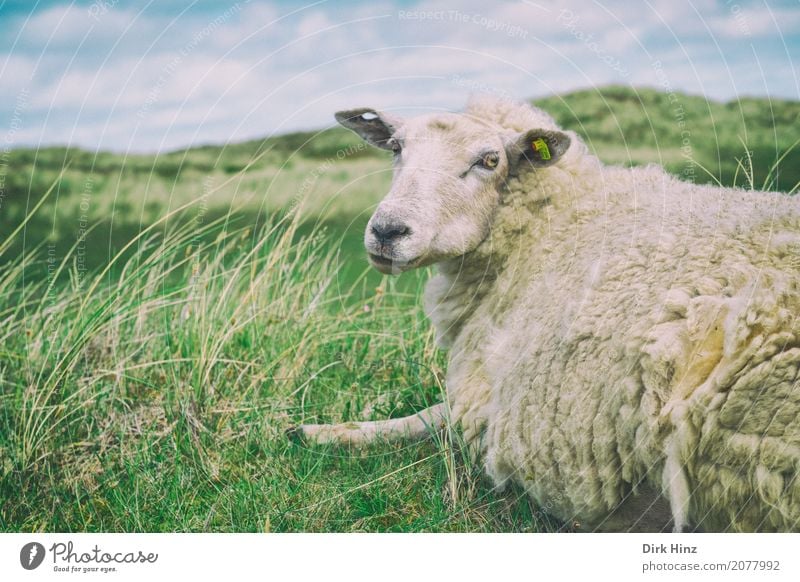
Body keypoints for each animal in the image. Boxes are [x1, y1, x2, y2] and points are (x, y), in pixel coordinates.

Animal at [290, 96, 800, 532]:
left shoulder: (487, 401)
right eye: (396, 148)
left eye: (489, 161)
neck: (556, 220)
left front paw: (333, 431)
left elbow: (435, 416)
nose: (386, 231)